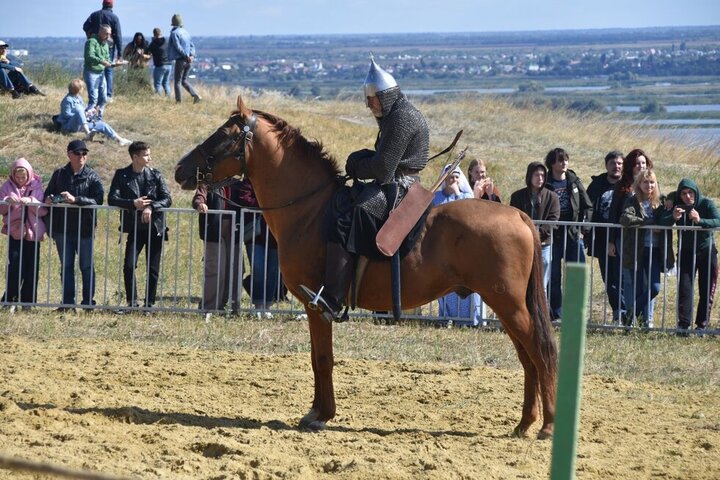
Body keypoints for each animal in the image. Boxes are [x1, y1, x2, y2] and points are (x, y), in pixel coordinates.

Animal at [174, 94, 556, 438]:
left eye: (223, 136)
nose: (180, 170)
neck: (311, 210)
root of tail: (519, 215)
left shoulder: (317, 304)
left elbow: (322, 358)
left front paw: (321, 415)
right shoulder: (314, 307)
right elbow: (319, 357)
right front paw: (318, 411)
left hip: (507, 304)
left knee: (540, 352)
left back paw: (548, 425)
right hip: (506, 306)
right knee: (527, 358)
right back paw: (524, 423)